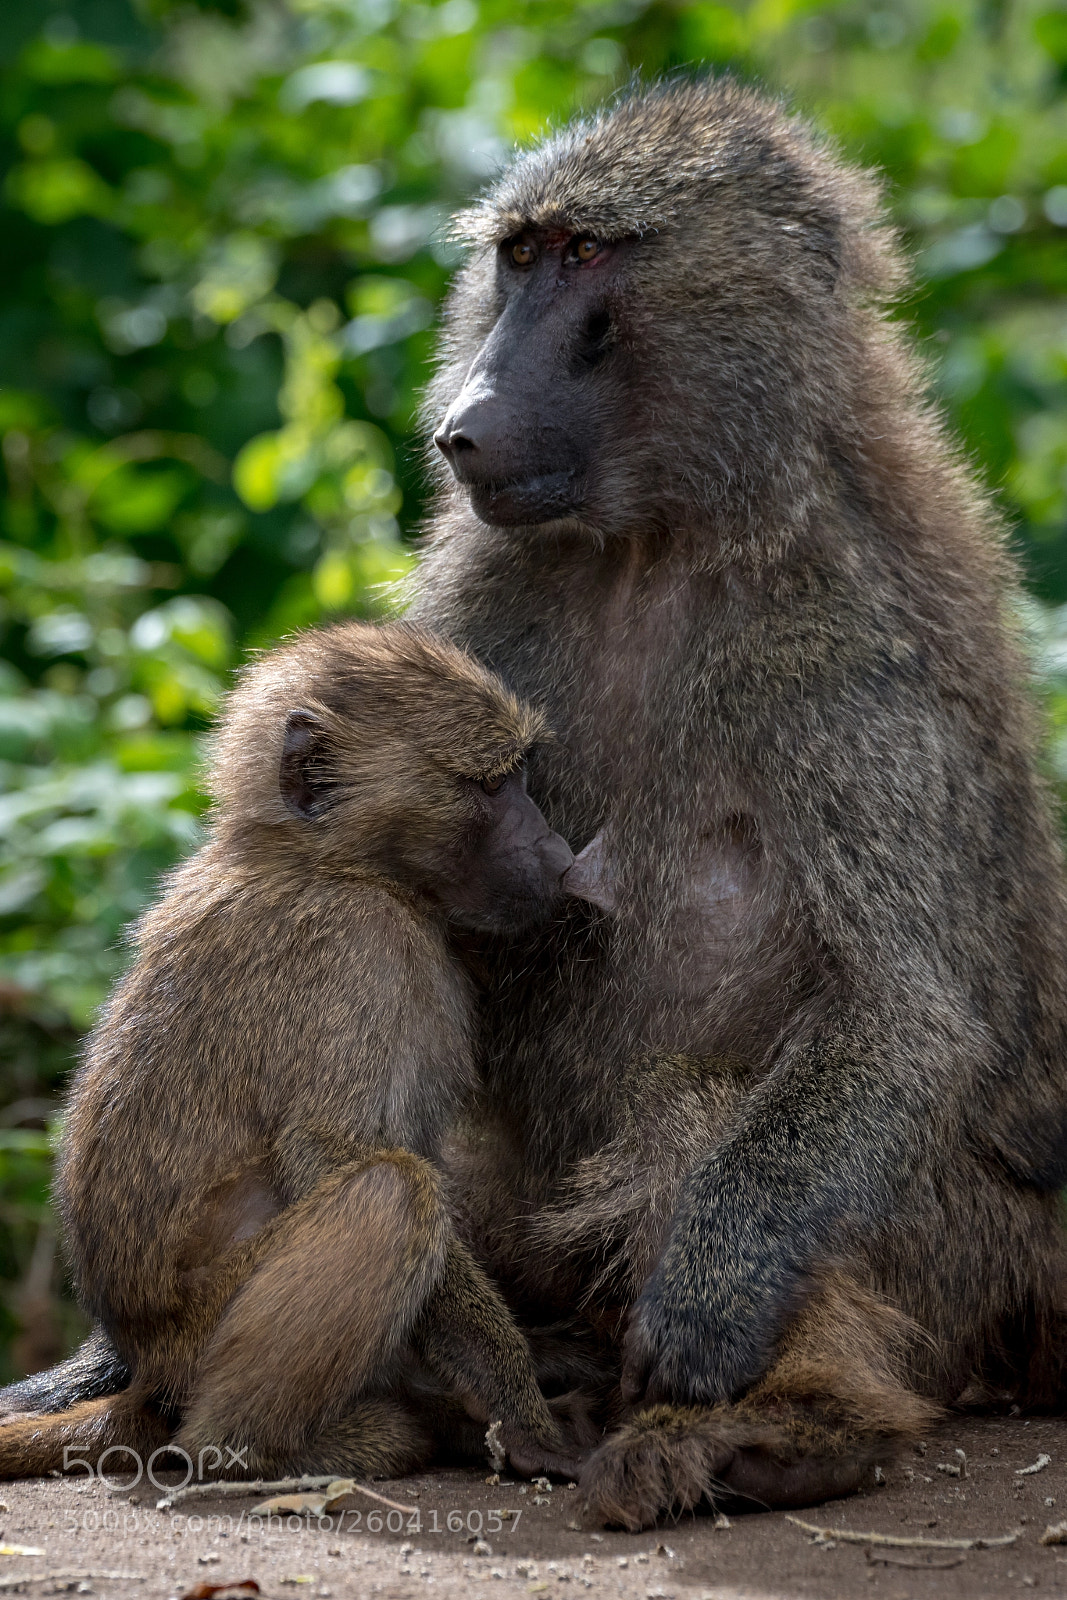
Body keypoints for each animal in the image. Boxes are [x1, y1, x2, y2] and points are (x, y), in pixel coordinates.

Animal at [0, 618, 587, 1483]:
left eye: (517, 777)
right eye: (487, 789)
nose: (556, 853)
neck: (325, 860)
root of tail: (144, 1360)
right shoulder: (351, 951)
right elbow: (333, 1153)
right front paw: (524, 1415)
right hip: (202, 1339)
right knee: (391, 1194)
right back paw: (262, 1446)